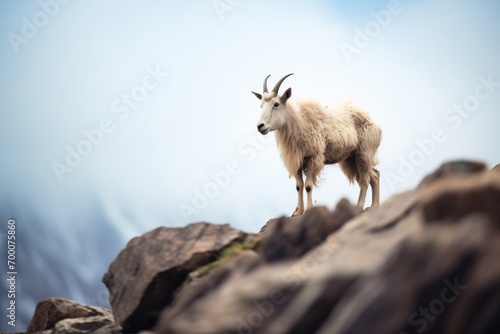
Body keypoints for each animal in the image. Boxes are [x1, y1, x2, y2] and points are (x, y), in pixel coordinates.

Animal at [252, 72, 380, 217]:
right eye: (261, 105)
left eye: (276, 104)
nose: (260, 126)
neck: (300, 122)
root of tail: (375, 125)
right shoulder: (297, 161)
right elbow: (299, 186)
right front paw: (297, 212)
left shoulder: (313, 158)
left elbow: (308, 186)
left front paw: (308, 210)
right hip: (353, 157)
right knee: (375, 175)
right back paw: (374, 206)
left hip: (363, 153)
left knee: (365, 181)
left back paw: (359, 207)